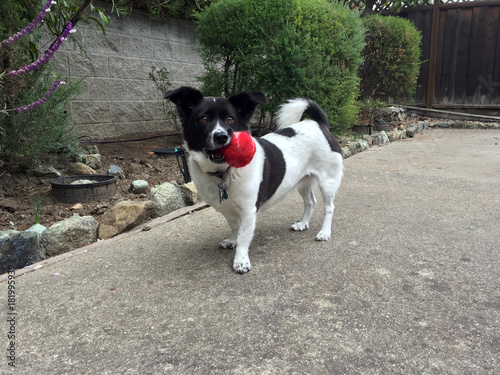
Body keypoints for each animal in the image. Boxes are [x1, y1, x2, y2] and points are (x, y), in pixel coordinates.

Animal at [164, 86, 344, 274]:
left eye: (230, 119)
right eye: (203, 119)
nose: (221, 136)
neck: (223, 173)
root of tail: (318, 123)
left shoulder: (249, 211)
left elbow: (243, 237)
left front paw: (241, 260)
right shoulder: (227, 209)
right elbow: (235, 227)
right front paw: (232, 240)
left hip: (328, 182)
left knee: (329, 207)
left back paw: (324, 232)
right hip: (303, 182)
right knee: (310, 202)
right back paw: (302, 224)